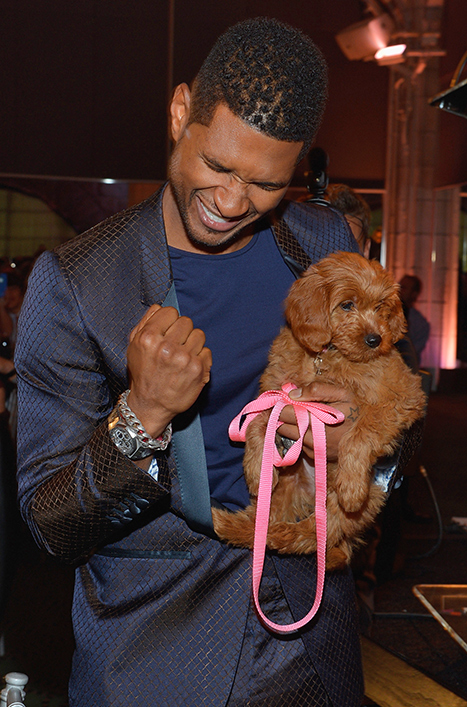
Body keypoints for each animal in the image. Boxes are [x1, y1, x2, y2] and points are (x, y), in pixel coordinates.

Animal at [212, 252, 428, 572]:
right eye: (347, 305)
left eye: (380, 307)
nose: (376, 340)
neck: (328, 355)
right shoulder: (278, 389)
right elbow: (257, 421)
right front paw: (255, 468)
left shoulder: (403, 397)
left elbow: (362, 430)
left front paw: (351, 485)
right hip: (285, 488)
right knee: (265, 521)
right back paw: (233, 524)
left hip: (369, 497)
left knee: (318, 534)